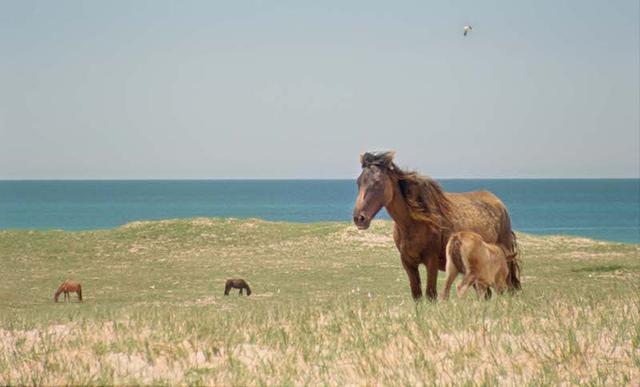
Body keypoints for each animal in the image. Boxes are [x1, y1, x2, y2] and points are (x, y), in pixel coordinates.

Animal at [352, 151, 524, 300]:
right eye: (358, 182)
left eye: (377, 182)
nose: (359, 218)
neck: (413, 225)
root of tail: (499, 204)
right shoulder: (408, 263)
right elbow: (417, 295)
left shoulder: (431, 262)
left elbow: (431, 295)